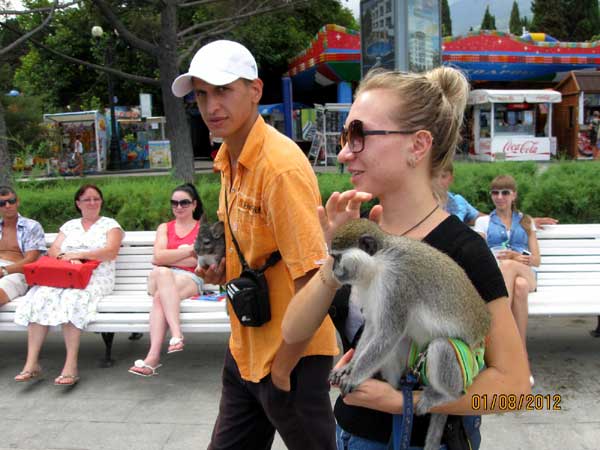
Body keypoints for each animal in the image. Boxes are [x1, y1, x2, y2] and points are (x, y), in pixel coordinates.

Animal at [328, 219, 492, 450]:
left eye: (337, 258)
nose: (333, 271)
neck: (378, 264)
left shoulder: (397, 283)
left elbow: (389, 333)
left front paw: (354, 376)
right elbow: (373, 327)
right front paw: (349, 367)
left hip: (471, 363)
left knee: (441, 346)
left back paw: (446, 395)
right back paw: (395, 385)